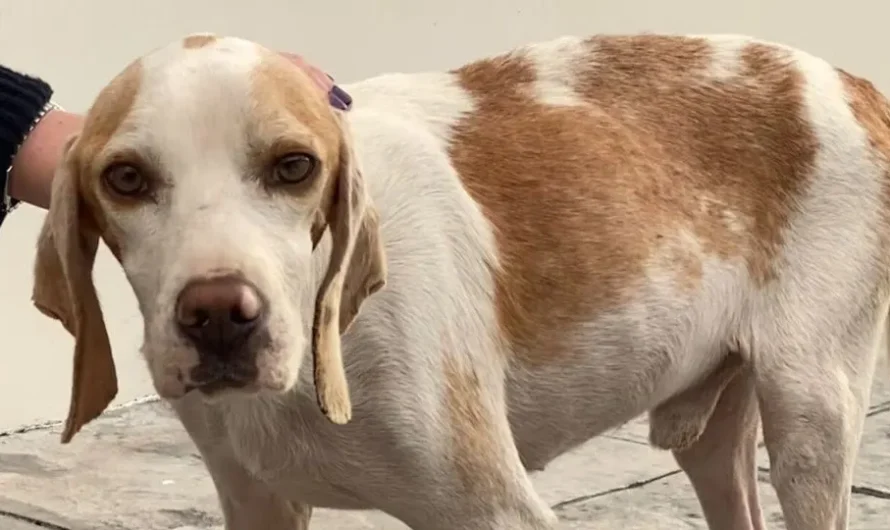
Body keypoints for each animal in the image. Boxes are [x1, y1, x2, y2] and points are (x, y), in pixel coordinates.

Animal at [31, 31, 888, 524]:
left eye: (294, 166)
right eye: (126, 179)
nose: (218, 317)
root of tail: (850, 81)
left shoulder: (494, 511)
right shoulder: (258, 502)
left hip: (811, 422)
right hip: (714, 438)